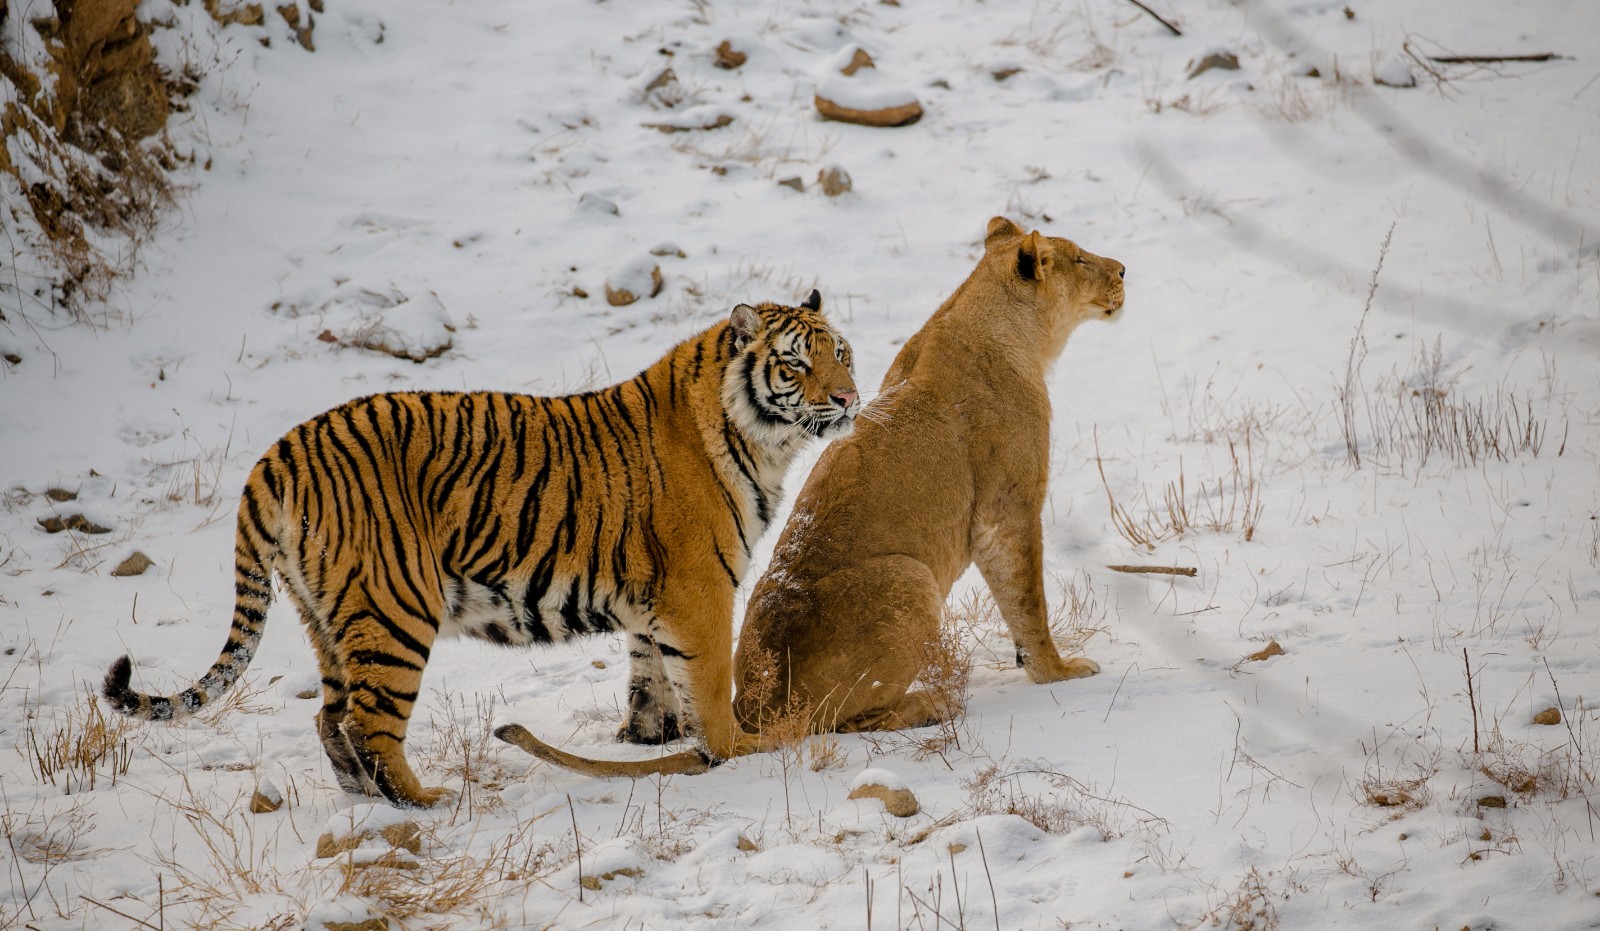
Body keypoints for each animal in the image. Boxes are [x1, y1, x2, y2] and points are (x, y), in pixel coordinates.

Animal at [103, 291, 860, 807]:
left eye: (841, 352)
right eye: (796, 363)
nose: (850, 398)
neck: (757, 438)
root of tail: (277, 454)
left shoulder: (652, 600)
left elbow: (651, 676)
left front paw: (650, 738)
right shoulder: (698, 589)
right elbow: (706, 683)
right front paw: (735, 750)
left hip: (325, 616)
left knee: (329, 715)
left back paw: (361, 795)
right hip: (395, 608)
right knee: (369, 721)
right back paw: (426, 802)